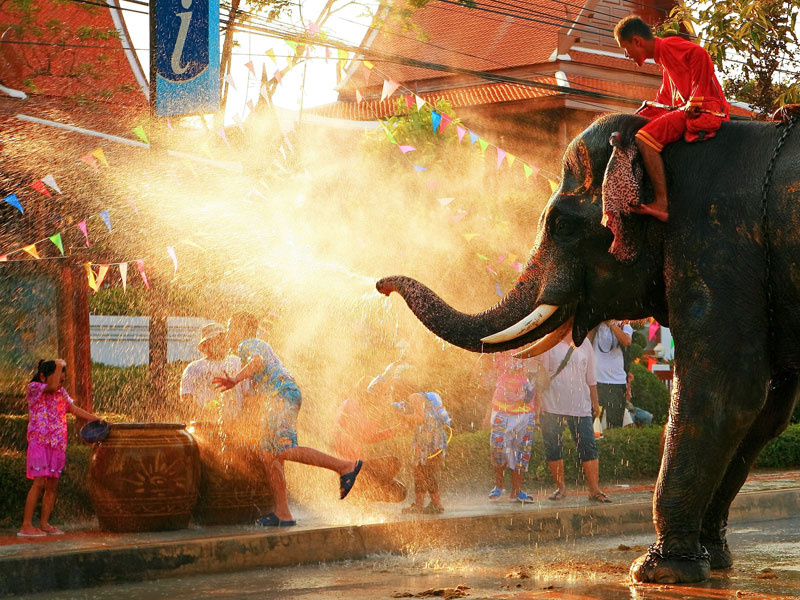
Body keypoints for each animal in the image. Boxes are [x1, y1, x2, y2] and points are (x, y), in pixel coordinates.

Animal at [376, 110, 800, 584]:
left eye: (561, 225)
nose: (381, 285)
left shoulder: (718, 248)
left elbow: (725, 394)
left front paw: (657, 572)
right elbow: (766, 411)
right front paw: (712, 559)